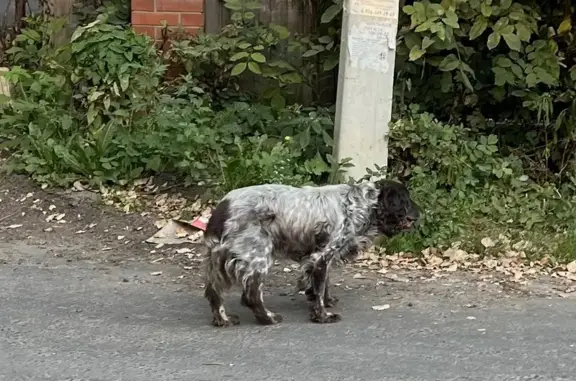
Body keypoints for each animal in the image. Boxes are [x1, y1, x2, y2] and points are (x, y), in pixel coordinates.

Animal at [201, 180, 418, 326]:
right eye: (405, 200)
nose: (419, 214)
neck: (359, 204)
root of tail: (222, 207)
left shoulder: (321, 257)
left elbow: (322, 286)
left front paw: (326, 302)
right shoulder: (322, 256)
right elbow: (320, 289)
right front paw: (323, 316)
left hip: (221, 260)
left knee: (214, 292)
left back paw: (224, 320)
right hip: (258, 256)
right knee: (251, 296)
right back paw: (269, 318)